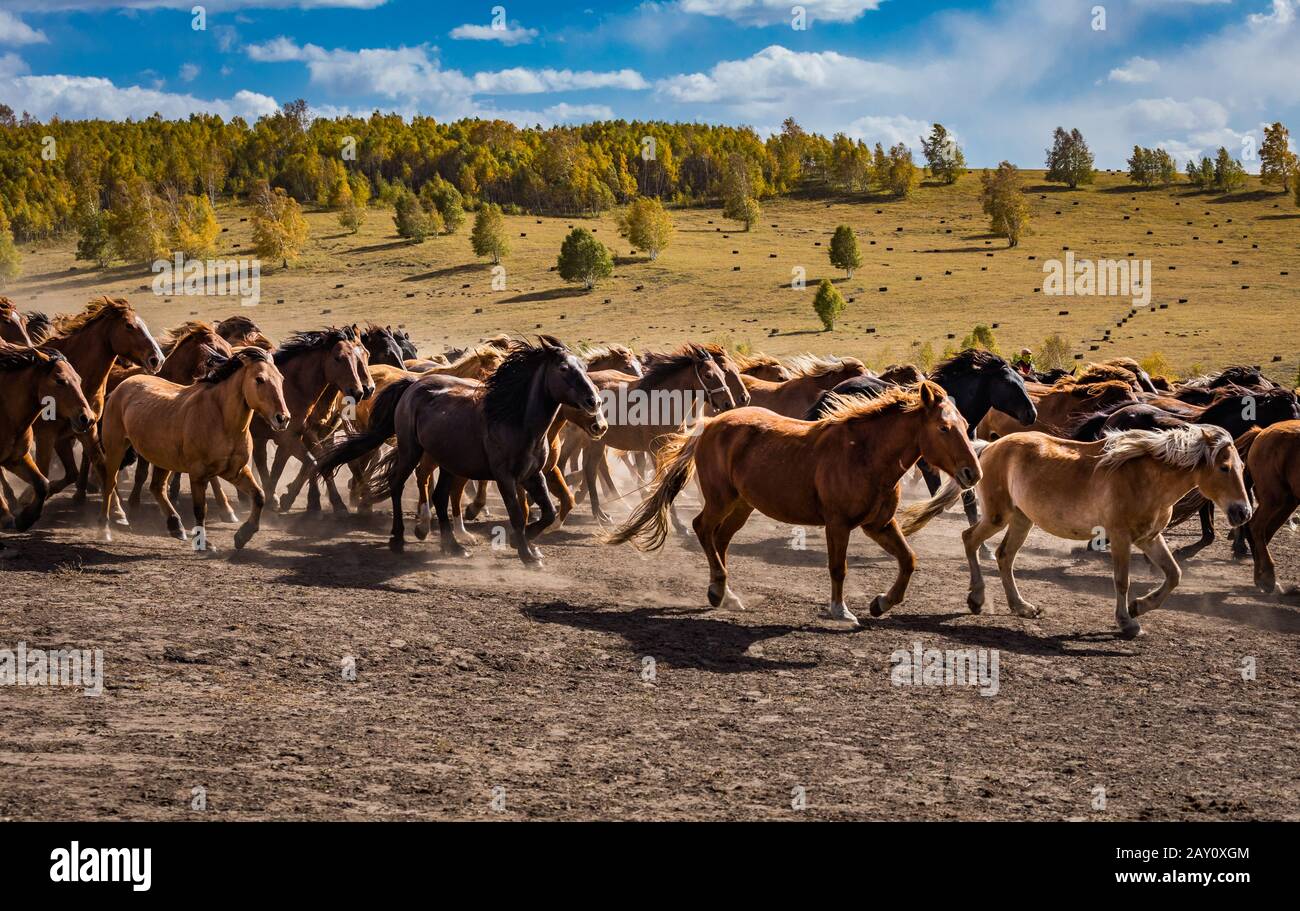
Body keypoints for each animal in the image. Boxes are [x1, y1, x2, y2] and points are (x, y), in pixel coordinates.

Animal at [0, 348, 96, 532]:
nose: (87, 418)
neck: (6, 414)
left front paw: (25, 518)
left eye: (79, 379)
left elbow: (43, 484)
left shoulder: (17, 458)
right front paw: (6, 517)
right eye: (60, 380)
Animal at [100, 348, 290, 550]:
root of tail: (121, 387)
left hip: (163, 459)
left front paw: (242, 535)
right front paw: (204, 544)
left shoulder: (236, 471)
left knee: (157, 487)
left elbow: (259, 496)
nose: (283, 418)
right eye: (259, 379)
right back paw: (106, 528)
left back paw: (176, 527)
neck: (222, 420)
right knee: (109, 484)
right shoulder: (198, 474)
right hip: (115, 448)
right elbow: (200, 510)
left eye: (281, 378)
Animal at [319, 336, 606, 563]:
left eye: (584, 367)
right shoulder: (505, 477)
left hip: (448, 461)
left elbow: (547, 512)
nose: (594, 401)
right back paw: (398, 539)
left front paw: (525, 544)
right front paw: (527, 554)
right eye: (564, 368)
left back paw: (454, 546)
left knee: (439, 496)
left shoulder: (533, 475)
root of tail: (412, 385)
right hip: (411, 451)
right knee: (399, 485)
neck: (517, 421)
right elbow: (516, 513)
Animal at [610, 381, 981, 625]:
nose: (972, 472)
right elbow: (838, 567)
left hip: (743, 504)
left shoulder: (879, 524)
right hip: (720, 498)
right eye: (944, 428)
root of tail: (712, 424)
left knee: (721, 539)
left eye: (965, 424)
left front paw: (881, 603)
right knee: (703, 529)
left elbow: (908, 560)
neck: (864, 453)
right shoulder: (838, 524)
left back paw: (727, 593)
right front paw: (841, 611)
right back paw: (717, 589)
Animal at [899, 425, 1251, 639]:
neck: (1146, 477)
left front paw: (1140, 606)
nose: (1243, 512)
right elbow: (1121, 580)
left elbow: (1174, 574)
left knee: (1003, 556)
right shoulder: (1120, 538)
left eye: (1242, 468)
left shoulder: (1149, 538)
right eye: (1223, 467)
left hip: (1021, 519)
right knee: (970, 539)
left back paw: (1022, 607)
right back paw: (976, 598)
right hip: (999, 516)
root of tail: (989, 446)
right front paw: (1127, 622)